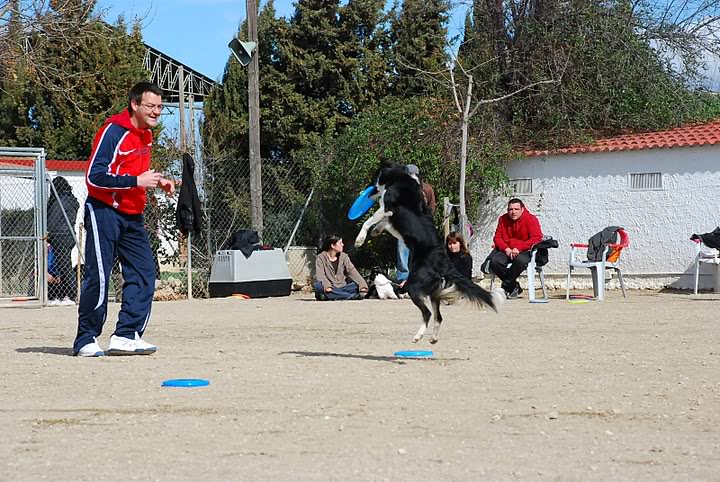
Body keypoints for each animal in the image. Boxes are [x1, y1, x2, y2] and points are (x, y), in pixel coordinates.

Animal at [352, 165, 500, 342]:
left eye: (375, 178)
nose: (367, 192)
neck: (401, 178)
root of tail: (443, 263)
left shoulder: (386, 208)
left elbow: (369, 222)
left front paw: (360, 239)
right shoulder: (392, 220)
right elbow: (383, 224)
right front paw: (376, 231)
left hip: (414, 286)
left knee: (428, 313)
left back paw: (417, 336)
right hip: (434, 291)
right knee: (438, 316)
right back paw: (433, 338)